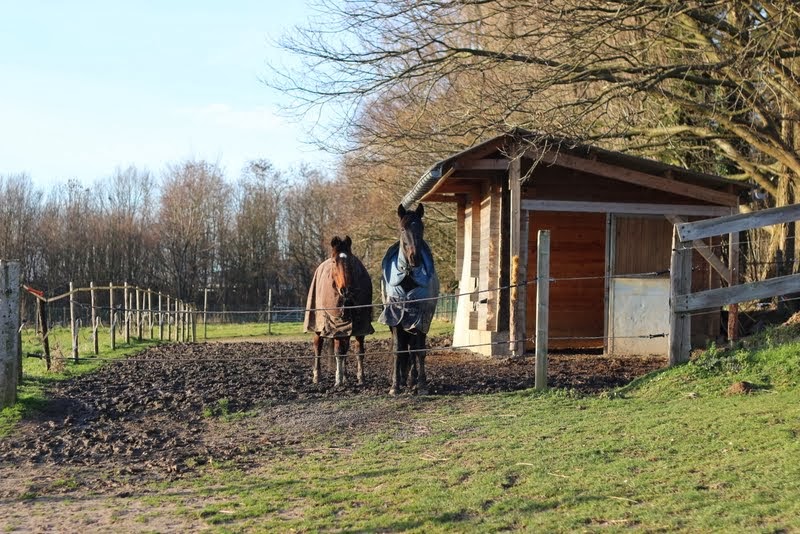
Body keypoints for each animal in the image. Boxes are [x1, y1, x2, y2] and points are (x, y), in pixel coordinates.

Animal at [304, 237, 376, 388]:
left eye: (351, 260)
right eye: (334, 261)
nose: (345, 289)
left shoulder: (360, 325)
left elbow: (359, 351)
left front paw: (360, 378)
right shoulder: (336, 325)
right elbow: (338, 352)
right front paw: (338, 379)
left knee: (345, 349)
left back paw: (346, 376)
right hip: (319, 325)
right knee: (318, 347)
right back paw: (317, 376)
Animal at [380, 203, 440, 396]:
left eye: (421, 228)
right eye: (402, 228)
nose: (415, 258)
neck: (407, 277)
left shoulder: (422, 318)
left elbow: (419, 351)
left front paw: (422, 385)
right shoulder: (395, 318)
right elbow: (398, 351)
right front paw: (395, 386)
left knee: (413, 349)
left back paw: (413, 381)